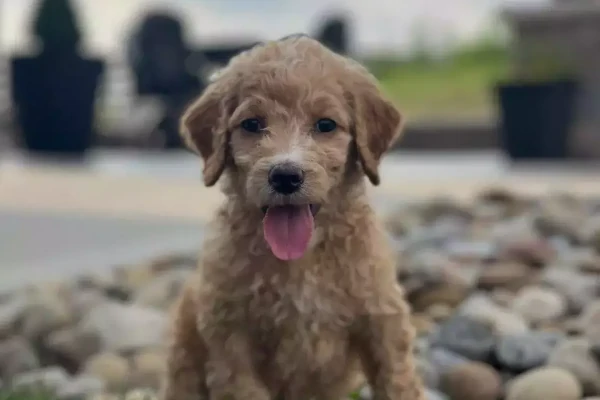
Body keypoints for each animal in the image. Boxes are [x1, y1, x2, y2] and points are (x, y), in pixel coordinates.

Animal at [162, 35, 424, 400]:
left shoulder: (381, 316)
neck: (303, 260)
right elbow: (244, 388)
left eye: (325, 125)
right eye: (252, 124)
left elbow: (397, 381)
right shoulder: (230, 335)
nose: (285, 176)